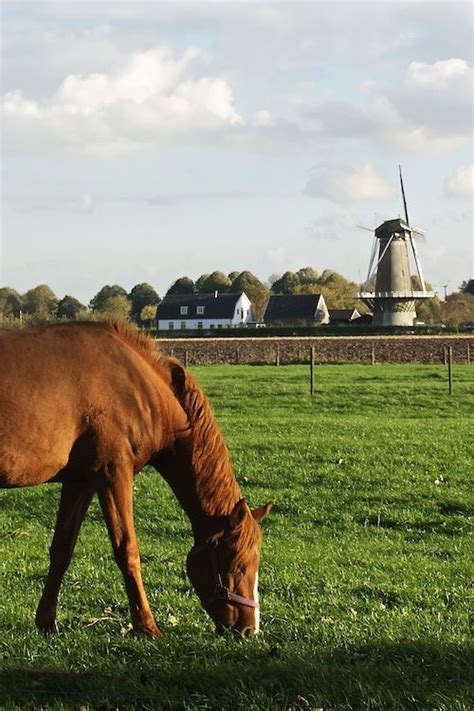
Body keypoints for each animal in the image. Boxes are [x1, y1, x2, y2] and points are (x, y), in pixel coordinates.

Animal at [0, 322, 272, 640]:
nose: (249, 629)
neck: (138, 385)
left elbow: (61, 550)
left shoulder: (80, 482)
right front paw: (147, 626)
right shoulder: (112, 475)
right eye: (240, 565)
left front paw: (46, 621)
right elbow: (127, 550)